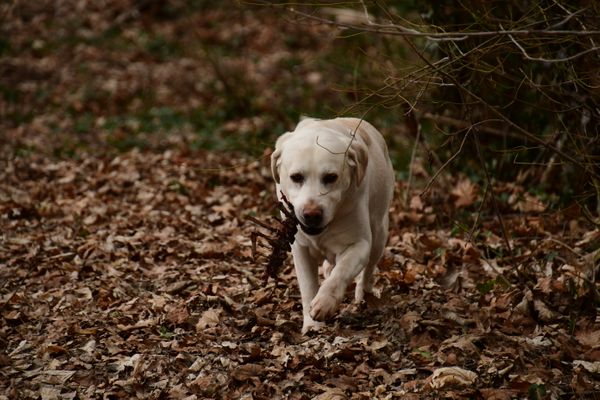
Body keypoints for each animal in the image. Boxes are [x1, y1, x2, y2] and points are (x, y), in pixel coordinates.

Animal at [270, 117, 394, 332]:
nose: (311, 214)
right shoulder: (300, 248)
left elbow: (341, 272)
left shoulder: (360, 244)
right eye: (296, 177)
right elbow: (308, 286)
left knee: (368, 269)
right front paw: (312, 326)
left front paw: (325, 302)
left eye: (330, 177)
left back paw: (363, 294)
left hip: (379, 233)